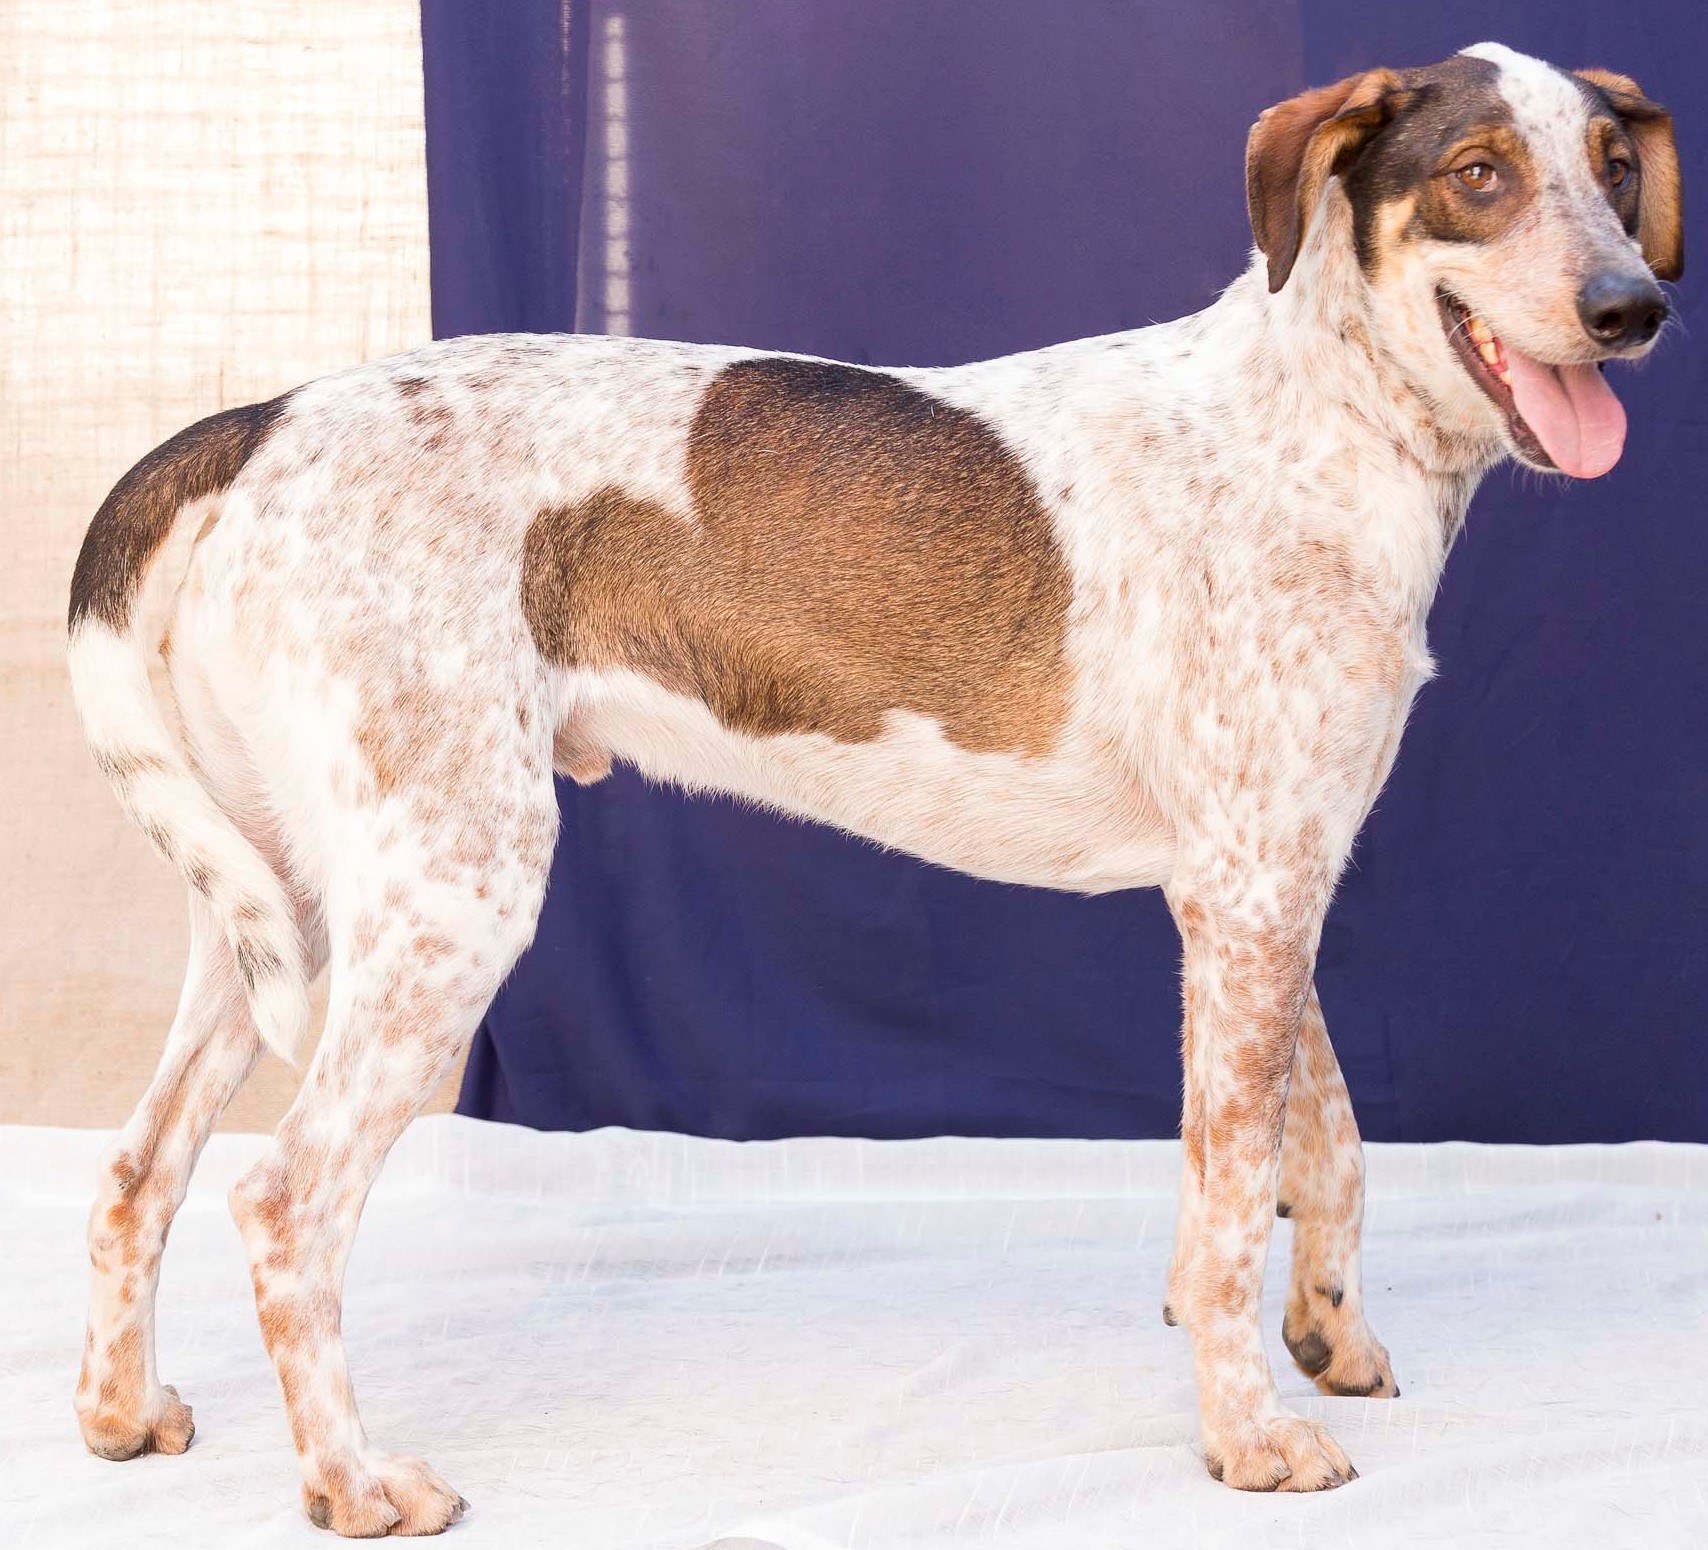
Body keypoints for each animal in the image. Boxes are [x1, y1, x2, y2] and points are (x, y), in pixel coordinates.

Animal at [66, 42, 1680, 1531]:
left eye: (1613, 170)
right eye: (1478, 173)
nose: (1632, 311)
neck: (1319, 424)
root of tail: (259, 417)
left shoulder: (1271, 881)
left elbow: (1325, 1145)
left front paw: (1332, 1337)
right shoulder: (1247, 896)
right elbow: (1230, 1204)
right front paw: (1251, 1435)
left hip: (280, 906)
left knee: (141, 1164)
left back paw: (119, 1415)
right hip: (448, 894)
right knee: (284, 1202)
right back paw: (349, 1481)